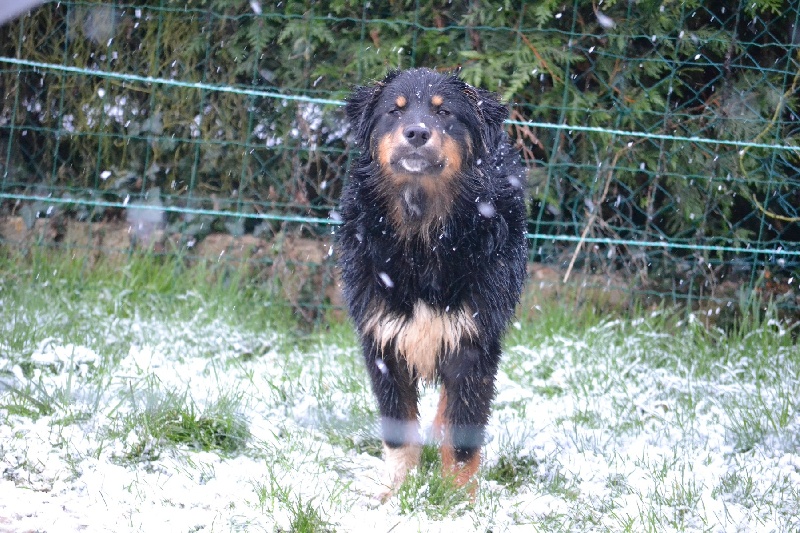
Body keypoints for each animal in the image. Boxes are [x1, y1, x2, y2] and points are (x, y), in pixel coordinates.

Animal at [334, 68, 528, 496]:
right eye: (395, 110)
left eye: (445, 114)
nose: (417, 132)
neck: (422, 233)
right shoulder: (383, 340)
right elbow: (399, 431)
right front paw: (394, 492)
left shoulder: (474, 342)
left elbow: (463, 434)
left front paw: (457, 500)